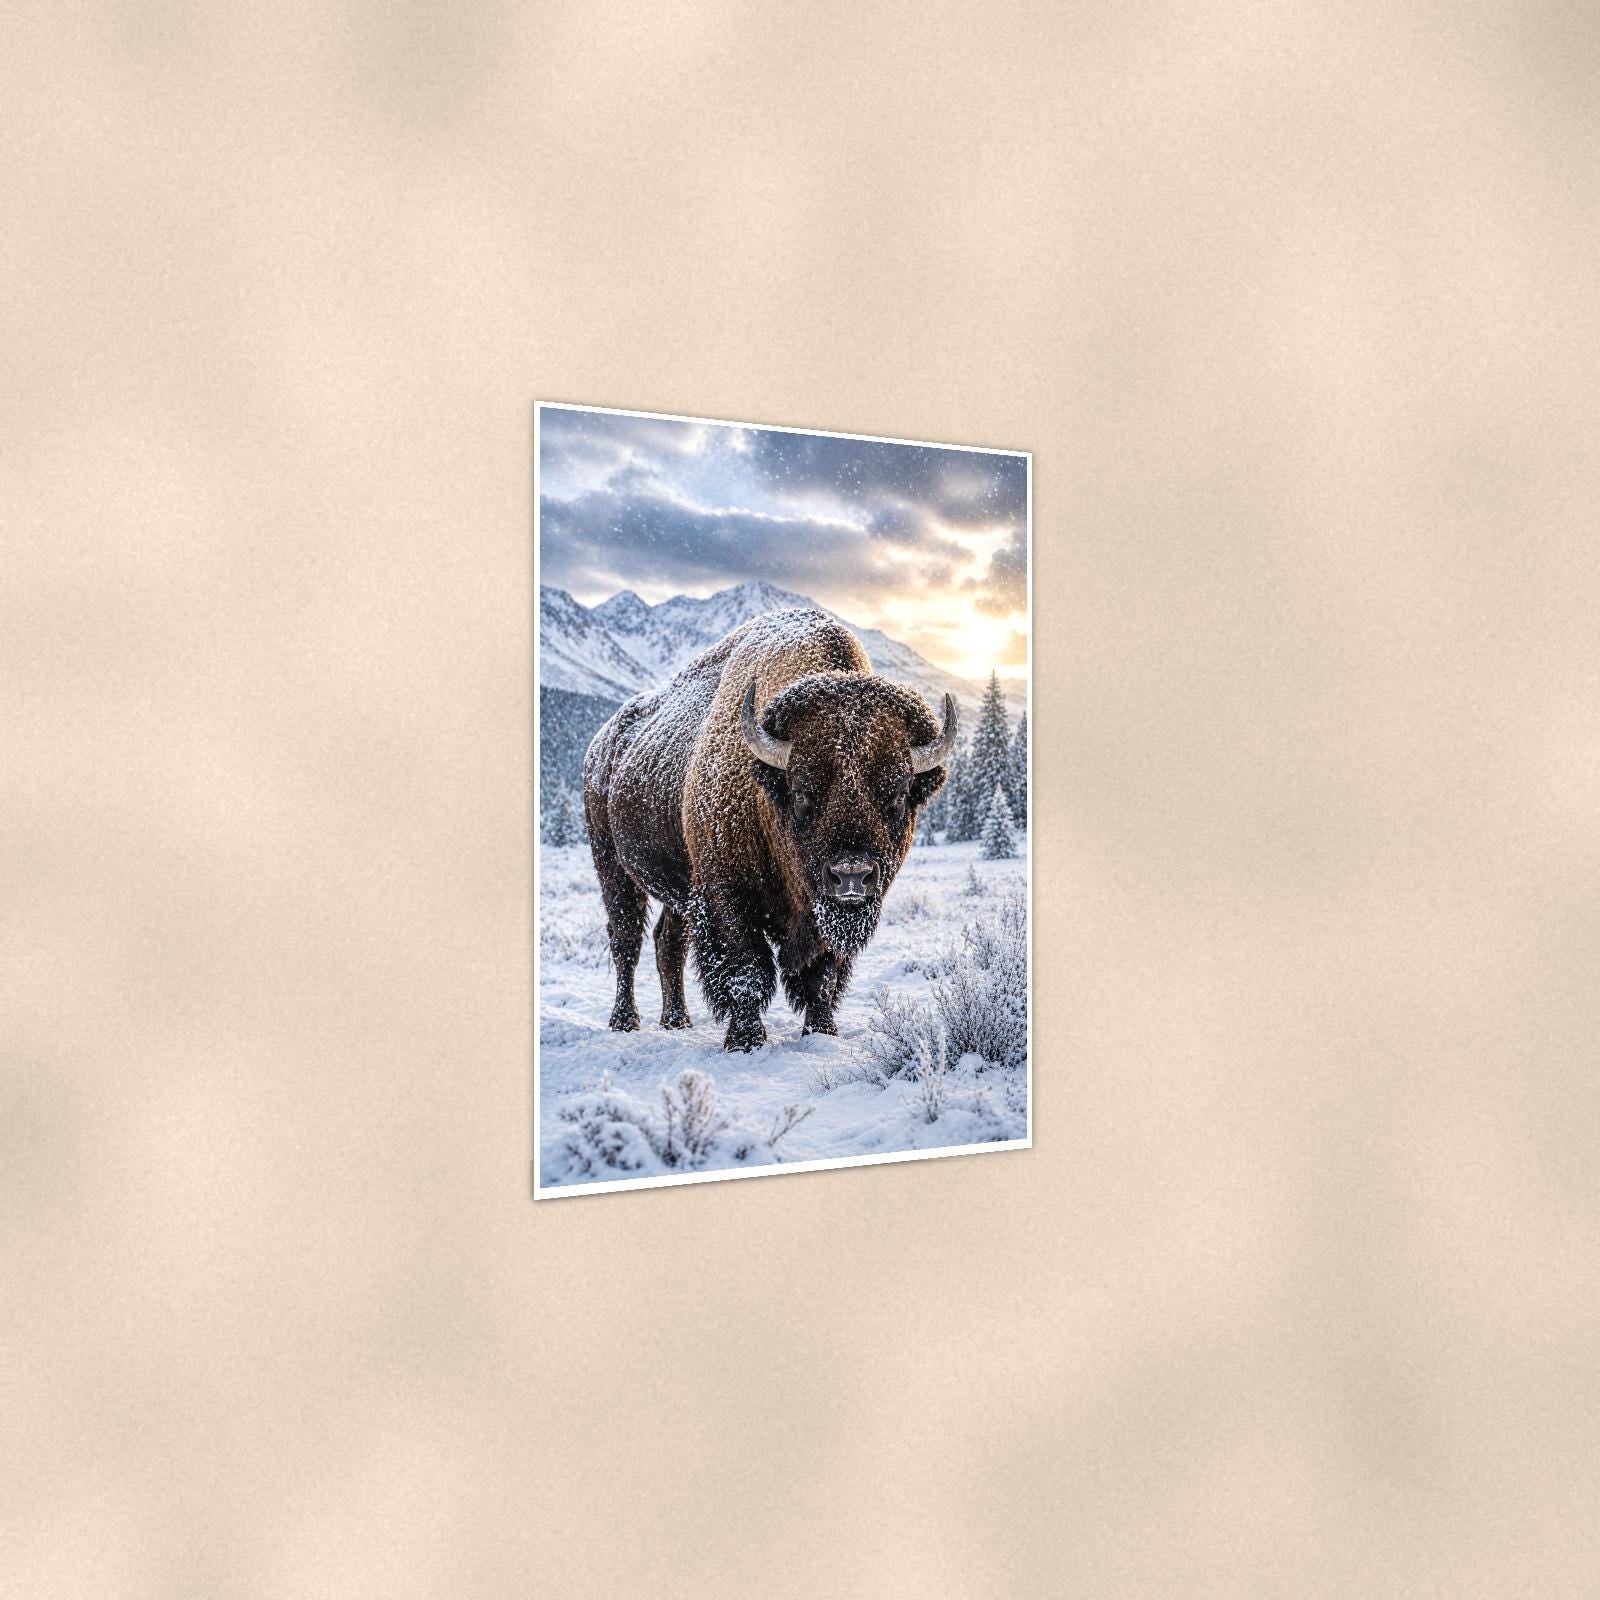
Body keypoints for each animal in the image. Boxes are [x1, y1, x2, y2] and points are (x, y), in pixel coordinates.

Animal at [582, 608, 957, 1051]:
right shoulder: (727, 895)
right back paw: (624, 1021)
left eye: (898, 793)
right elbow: (748, 969)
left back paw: (677, 1021)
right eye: (800, 790)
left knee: (667, 943)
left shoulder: (819, 914)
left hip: (680, 889)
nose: (851, 876)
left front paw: (821, 1031)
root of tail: (602, 745)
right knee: (626, 941)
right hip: (612, 865)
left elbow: (822, 976)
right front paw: (745, 1040)